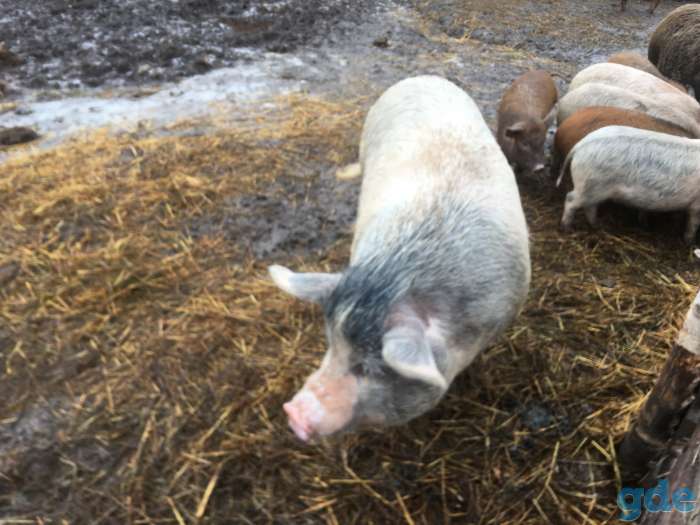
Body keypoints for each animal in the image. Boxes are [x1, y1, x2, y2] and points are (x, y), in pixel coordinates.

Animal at [557, 125, 700, 243]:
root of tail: (580, 145)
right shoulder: (696, 206)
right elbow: (693, 224)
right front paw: (689, 242)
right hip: (589, 185)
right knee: (570, 199)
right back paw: (567, 228)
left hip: (593, 188)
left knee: (589, 207)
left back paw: (598, 225)